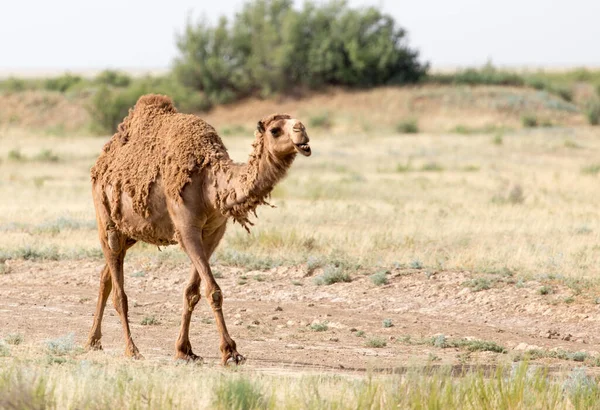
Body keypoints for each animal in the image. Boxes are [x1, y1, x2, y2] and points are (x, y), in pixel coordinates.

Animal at [86, 93, 312, 366]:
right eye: (275, 130)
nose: (302, 132)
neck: (209, 184)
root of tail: (102, 162)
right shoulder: (186, 228)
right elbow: (213, 290)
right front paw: (231, 352)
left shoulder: (213, 232)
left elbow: (191, 292)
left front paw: (185, 350)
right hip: (106, 220)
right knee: (119, 291)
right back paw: (131, 349)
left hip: (131, 231)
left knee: (105, 276)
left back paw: (93, 341)